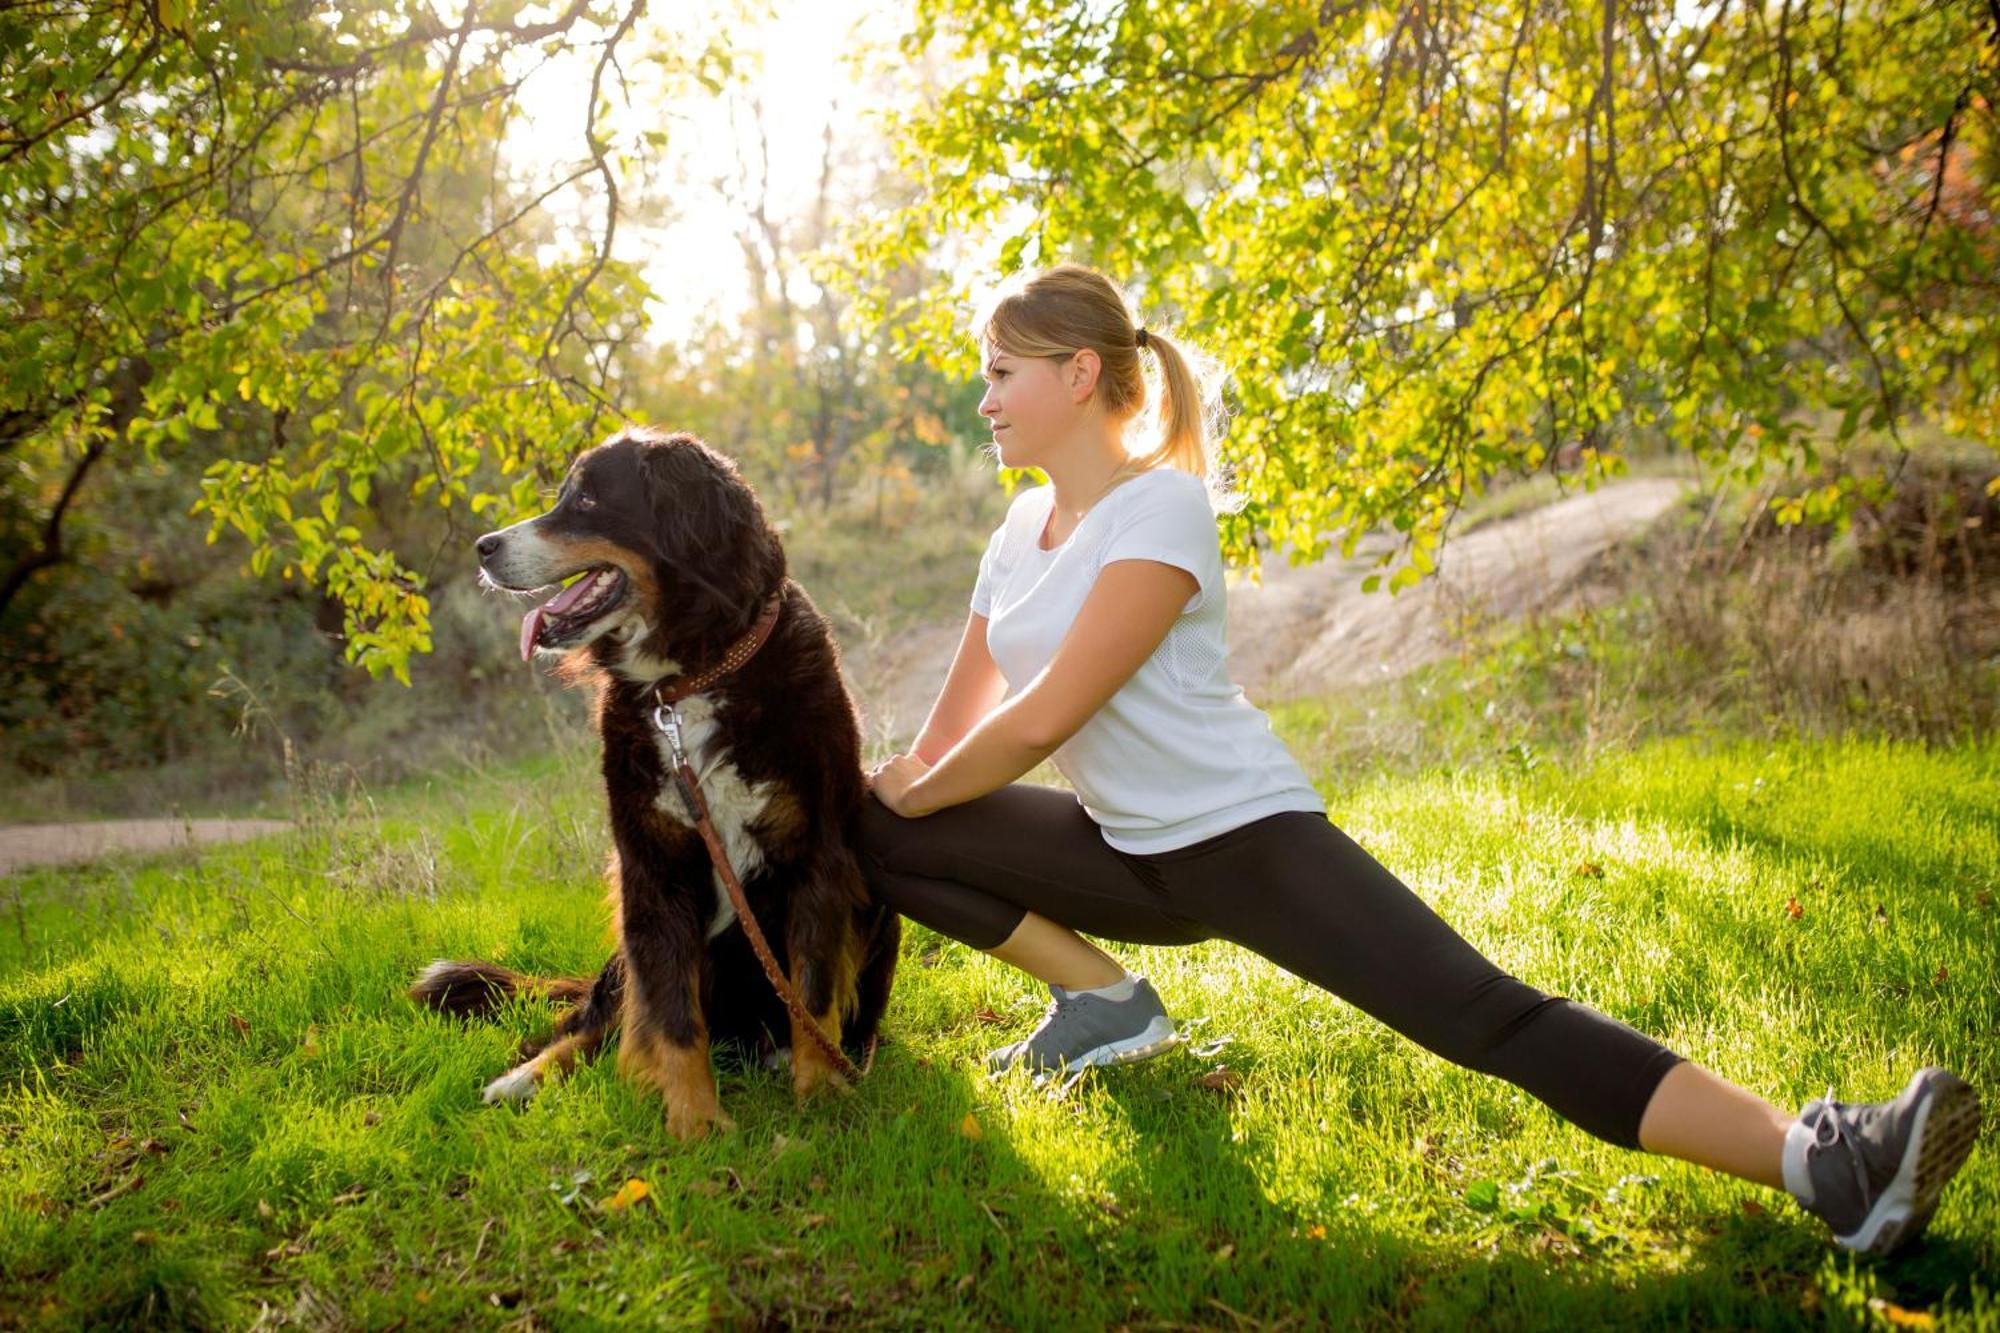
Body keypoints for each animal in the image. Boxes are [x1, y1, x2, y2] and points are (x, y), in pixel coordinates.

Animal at [410, 422, 896, 1128]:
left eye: (587, 501)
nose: (484, 546)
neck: (688, 679)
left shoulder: (818, 856)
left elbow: (812, 992)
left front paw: (822, 1098)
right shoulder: (650, 867)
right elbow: (670, 1014)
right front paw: (695, 1123)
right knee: (597, 1019)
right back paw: (528, 1076)